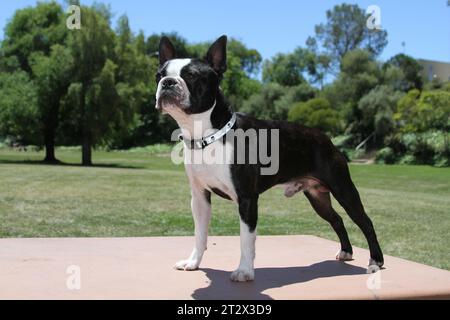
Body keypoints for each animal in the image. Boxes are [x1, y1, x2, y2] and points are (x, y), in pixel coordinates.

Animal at [156, 34, 384, 280]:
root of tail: (327, 139)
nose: (168, 82)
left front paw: (244, 271)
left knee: (365, 221)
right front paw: (193, 262)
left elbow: (246, 239)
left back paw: (376, 260)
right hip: (317, 196)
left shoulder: (247, 199)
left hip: (343, 189)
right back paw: (346, 252)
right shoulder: (199, 198)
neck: (208, 136)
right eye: (159, 74)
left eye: (191, 76)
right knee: (337, 219)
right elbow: (200, 233)